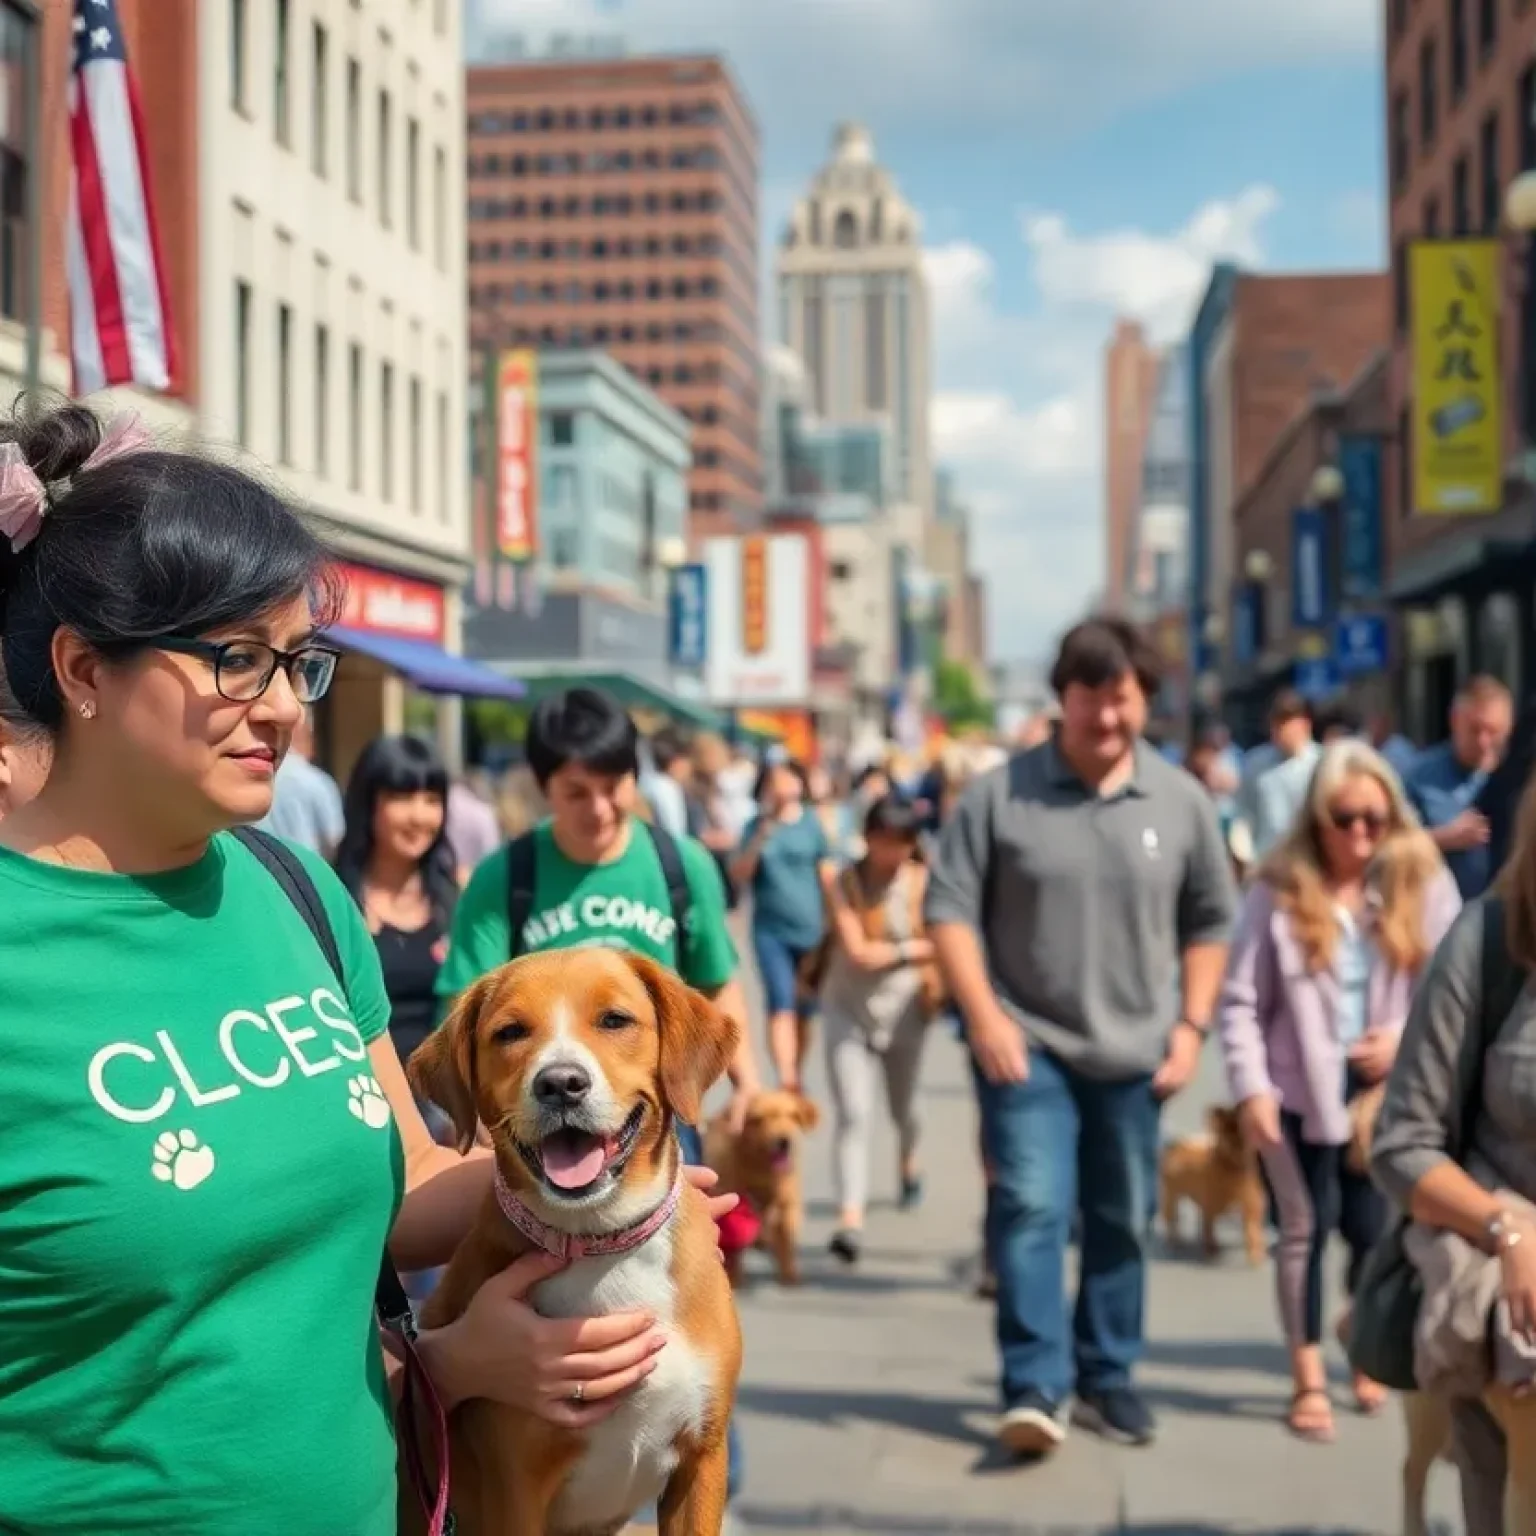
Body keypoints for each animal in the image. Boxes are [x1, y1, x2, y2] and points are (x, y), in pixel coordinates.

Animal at [408, 946, 743, 1536]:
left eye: (614, 1020)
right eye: (510, 1032)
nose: (561, 1083)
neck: (601, 1241)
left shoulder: (703, 1460)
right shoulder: (514, 1492)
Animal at [703, 1087, 823, 1290]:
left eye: (793, 1116)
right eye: (758, 1119)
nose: (784, 1141)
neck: (763, 1177)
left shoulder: (786, 1207)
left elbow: (786, 1243)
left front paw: (789, 1274)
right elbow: (733, 1252)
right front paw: (734, 1279)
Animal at [1155, 1112, 1265, 1265]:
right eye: (1228, 1135)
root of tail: (1177, 1146)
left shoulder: (1250, 1210)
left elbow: (1252, 1232)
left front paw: (1255, 1255)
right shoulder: (1210, 1208)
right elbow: (1209, 1230)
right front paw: (1211, 1251)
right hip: (1171, 1198)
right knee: (1172, 1221)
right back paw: (1175, 1241)